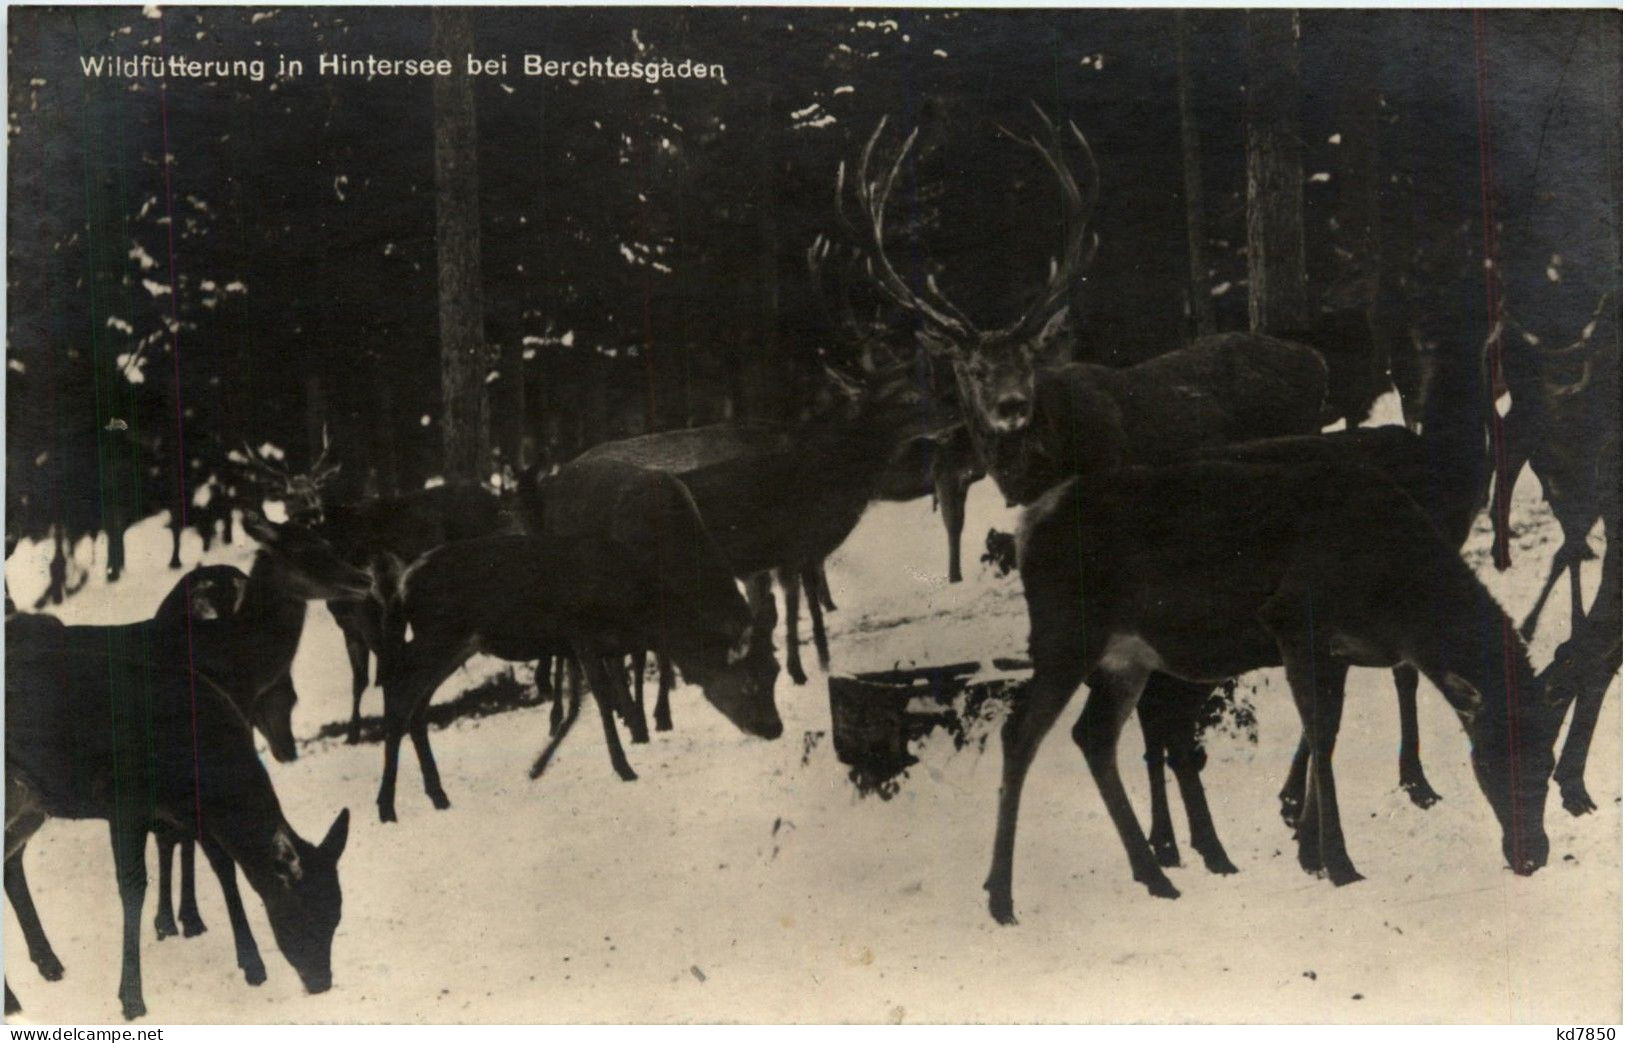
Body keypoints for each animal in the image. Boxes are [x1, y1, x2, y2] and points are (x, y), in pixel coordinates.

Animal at [6, 604, 351, 1020]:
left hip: (31, 803)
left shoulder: (189, 812)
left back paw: (46, 965)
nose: (321, 982)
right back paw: (15, 995)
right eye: (301, 914)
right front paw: (132, 999)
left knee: (11, 861)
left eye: (337, 914)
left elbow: (224, 867)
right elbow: (133, 889)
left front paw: (252, 964)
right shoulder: (124, 802)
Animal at [988, 451, 1560, 916]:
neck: (1397, 602)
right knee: (1020, 735)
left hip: (1126, 657)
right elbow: (1322, 738)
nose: (1534, 855)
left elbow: (1323, 734)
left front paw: (1310, 851)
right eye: (1490, 762)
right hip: (1067, 634)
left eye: (1549, 763)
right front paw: (1339, 863)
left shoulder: (1336, 651)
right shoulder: (1292, 621)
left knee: (1094, 735)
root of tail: (1026, 525)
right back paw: (1001, 897)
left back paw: (1155, 875)